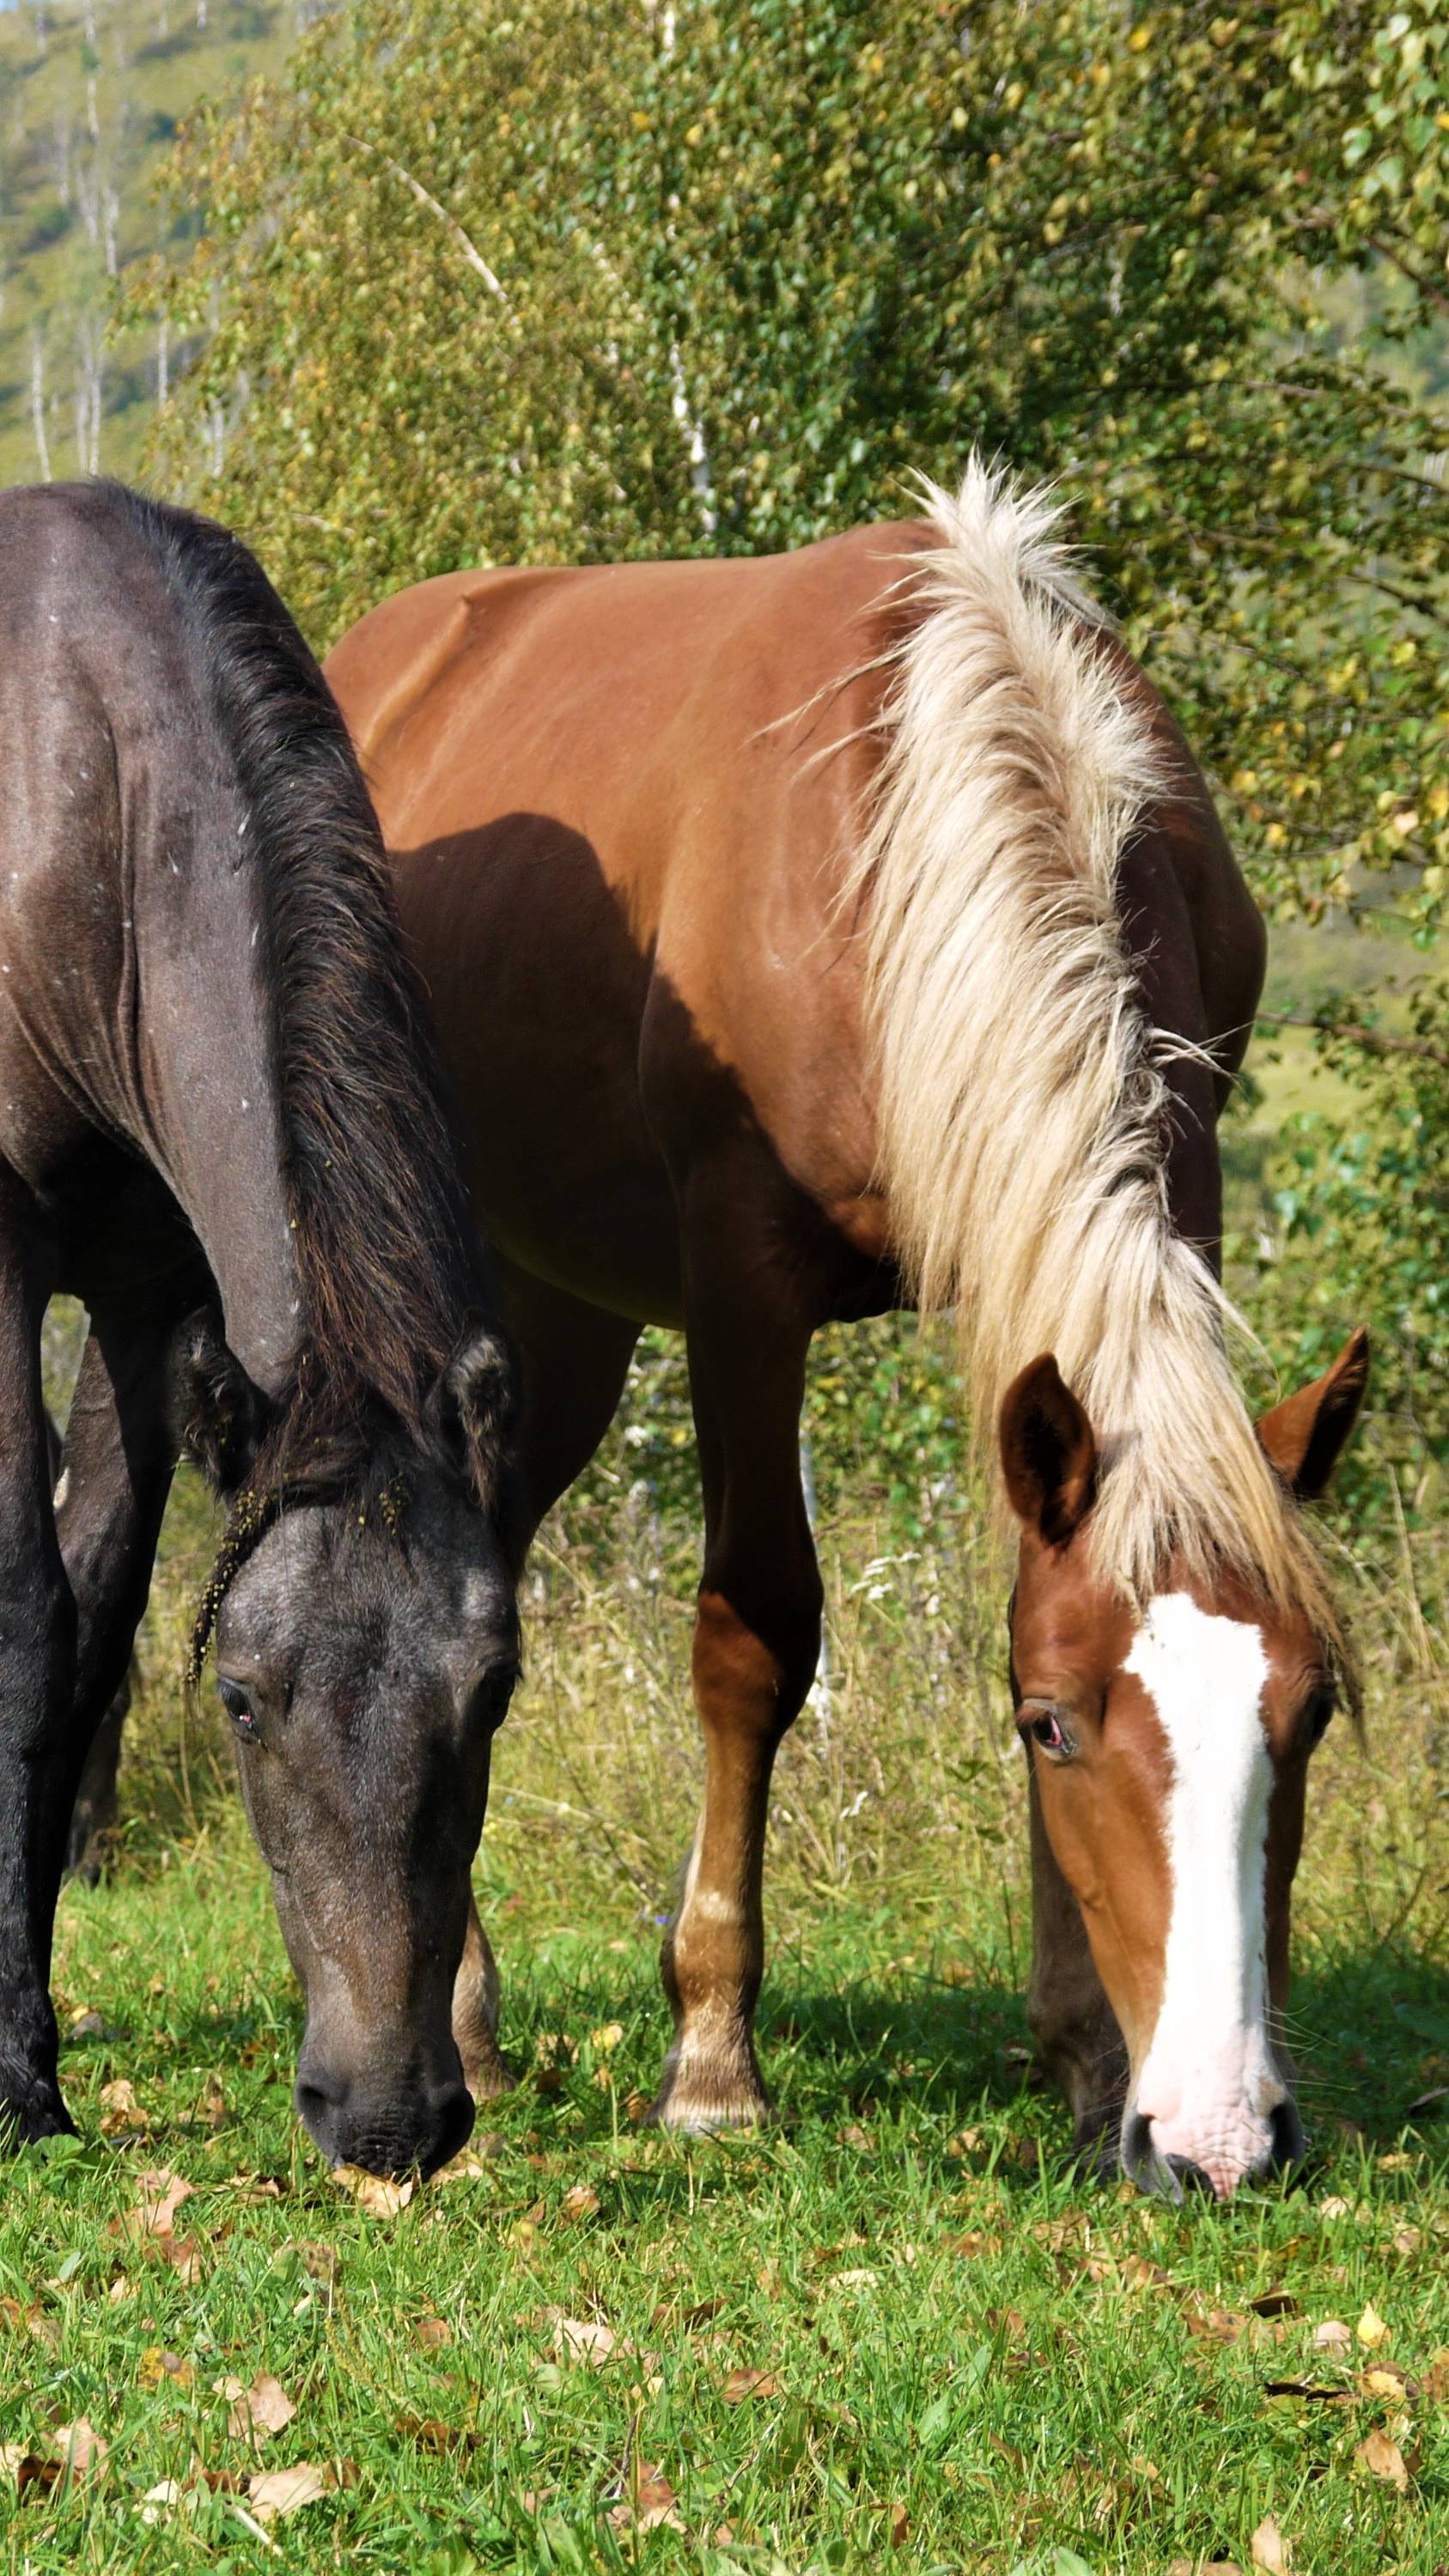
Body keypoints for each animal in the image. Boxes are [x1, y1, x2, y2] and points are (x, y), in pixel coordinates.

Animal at [0, 484, 518, 2174]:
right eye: (241, 1700)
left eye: (492, 1690)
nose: (390, 2117)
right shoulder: (6, 1257)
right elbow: (27, 1620)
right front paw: (12, 2081)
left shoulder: (153, 1302)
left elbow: (92, 1629)